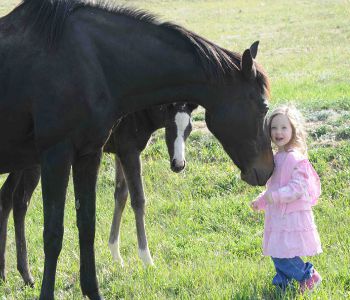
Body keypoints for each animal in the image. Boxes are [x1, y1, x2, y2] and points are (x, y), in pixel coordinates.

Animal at [0, 102, 197, 286]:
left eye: (189, 128)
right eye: (169, 126)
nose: (178, 164)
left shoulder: (120, 151)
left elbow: (121, 195)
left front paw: (116, 255)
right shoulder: (129, 149)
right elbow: (138, 200)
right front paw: (147, 260)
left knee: (7, 197)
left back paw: (5, 273)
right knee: (20, 201)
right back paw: (26, 274)